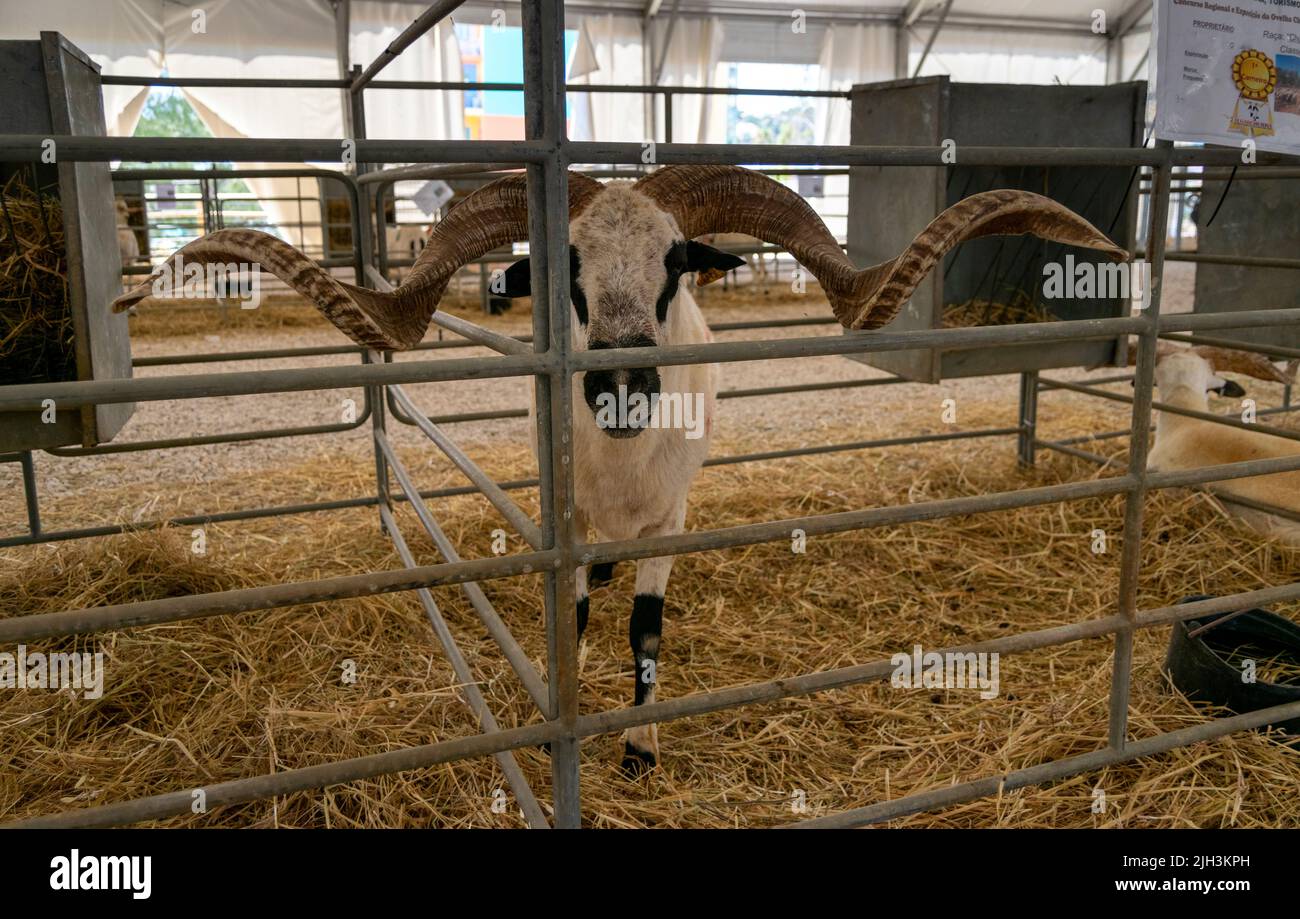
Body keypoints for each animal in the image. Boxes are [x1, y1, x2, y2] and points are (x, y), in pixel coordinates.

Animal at [114, 165, 1127, 772]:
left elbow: (645, 629)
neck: (625, 467)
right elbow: (571, 614)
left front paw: (638, 748)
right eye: (566, 262)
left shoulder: (673, 518)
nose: (623, 381)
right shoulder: (562, 515)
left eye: (676, 258)